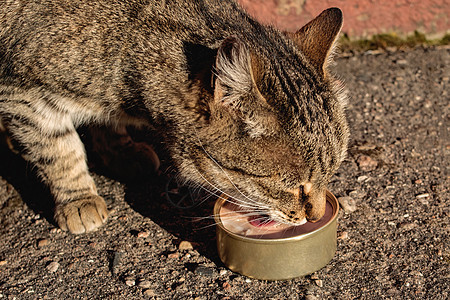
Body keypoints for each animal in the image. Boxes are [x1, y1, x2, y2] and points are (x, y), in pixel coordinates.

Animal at [0, 0, 350, 234]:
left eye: (332, 173)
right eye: (295, 187)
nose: (316, 216)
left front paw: (120, 150)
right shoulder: (21, 93)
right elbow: (58, 150)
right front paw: (78, 198)